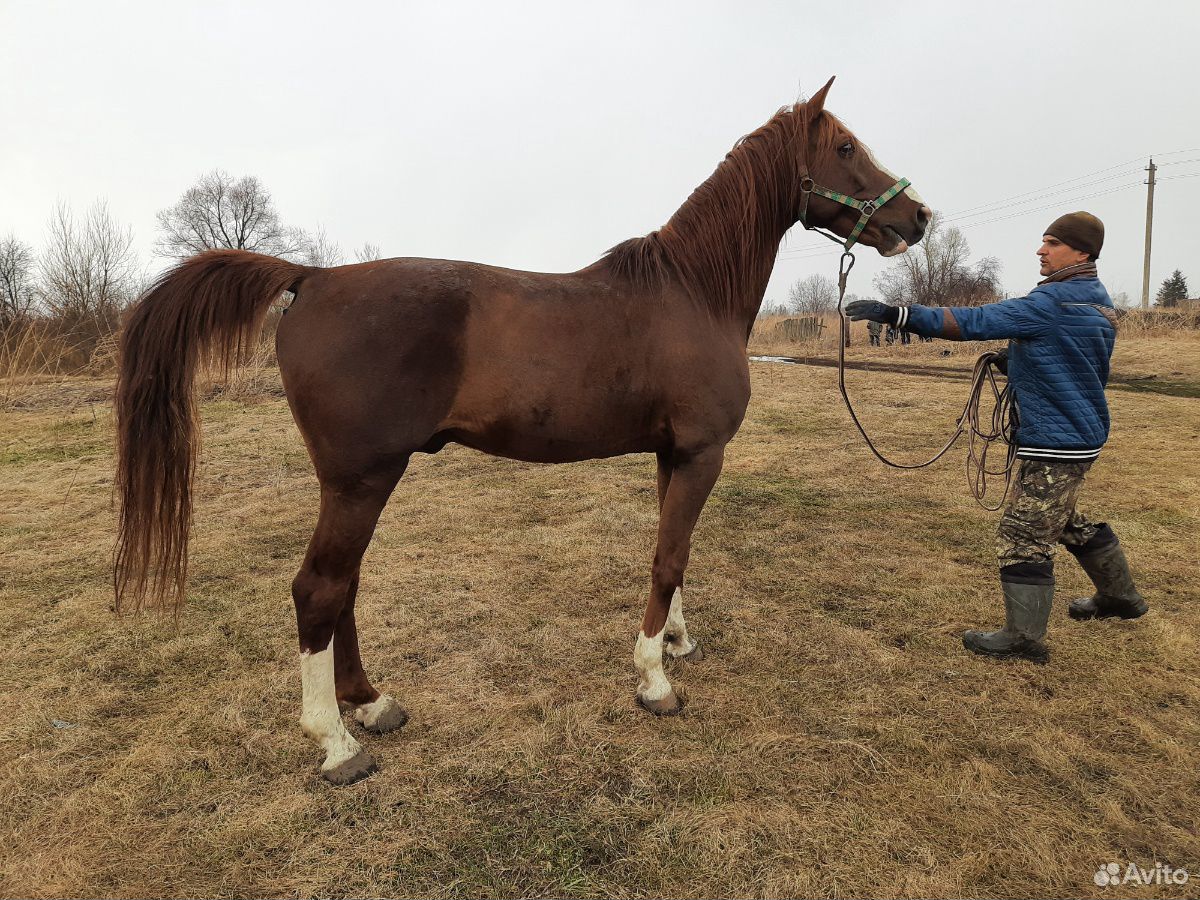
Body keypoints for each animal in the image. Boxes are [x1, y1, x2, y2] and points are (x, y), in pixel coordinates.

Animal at [114, 75, 926, 782]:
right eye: (845, 146)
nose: (917, 218)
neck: (693, 294)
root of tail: (312, 277)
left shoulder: (674, 456)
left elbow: (674, 555)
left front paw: (676, 643)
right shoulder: (702, 453)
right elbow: (667, 560)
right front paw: (654, 681)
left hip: (352, 485)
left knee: (344, 587)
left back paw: (371, 705)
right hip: (361, 479)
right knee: (319, 589)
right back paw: (338, 744)